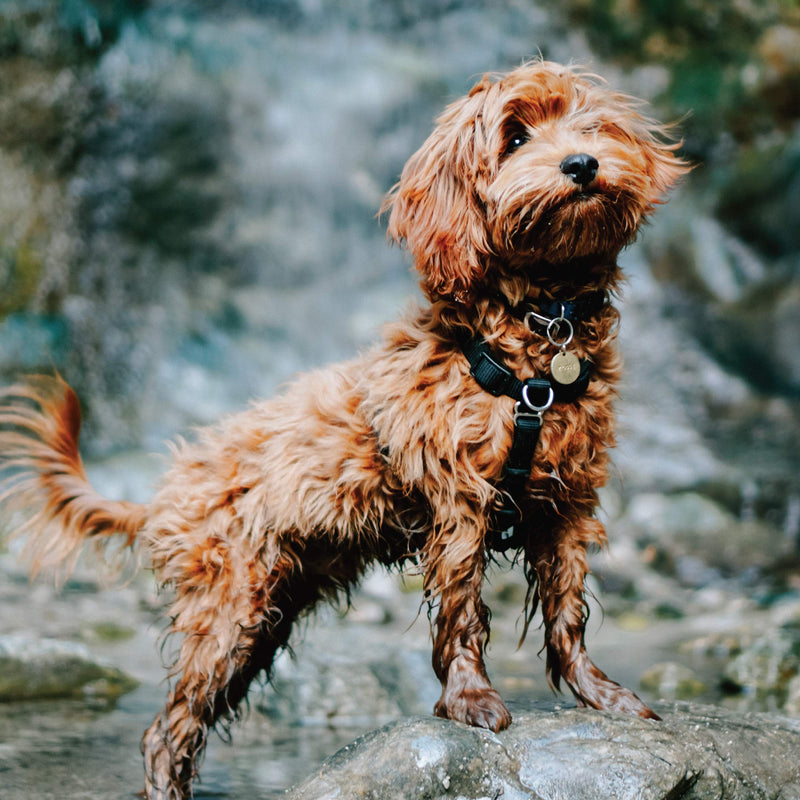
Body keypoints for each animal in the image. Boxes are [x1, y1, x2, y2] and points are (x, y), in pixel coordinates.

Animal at [0, 62, 688, 800]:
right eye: (514, 137)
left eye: (590, 125)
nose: (582, 164)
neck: (537, 342)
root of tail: (166, 493)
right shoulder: (459, 504)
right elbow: (462, 611)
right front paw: (471, 701)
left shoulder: (568, 505)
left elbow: (568, 611)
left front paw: (599, 694)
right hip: (229, 613)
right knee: (168, 731)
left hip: (263, 620)